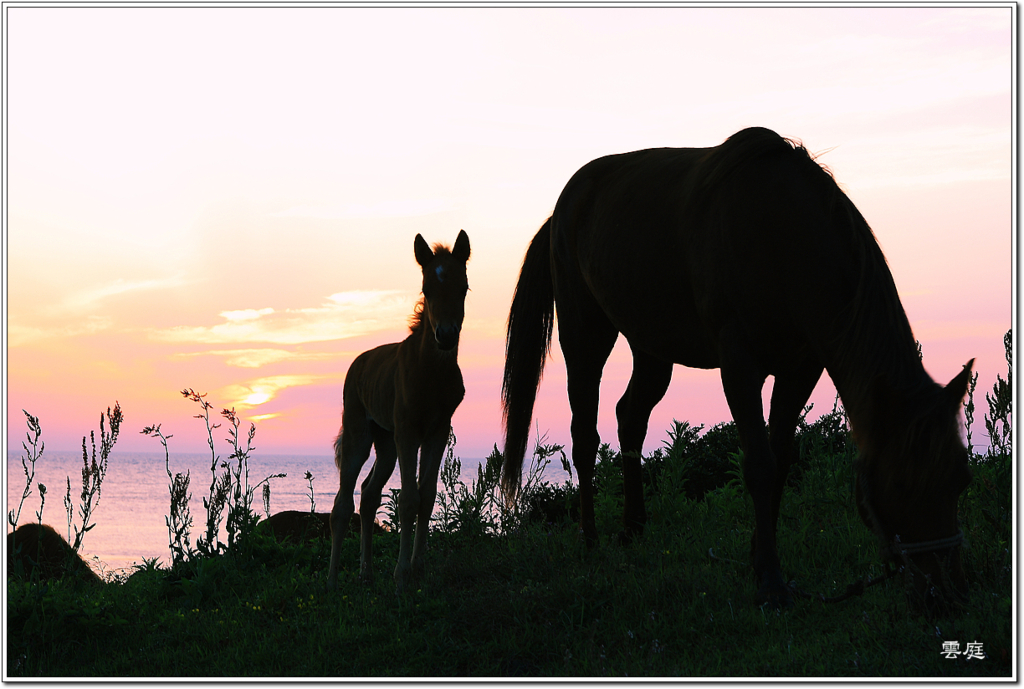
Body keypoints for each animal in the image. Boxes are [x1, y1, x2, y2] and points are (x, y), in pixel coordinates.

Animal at [327, 229, 471, 589]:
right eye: (426, 289)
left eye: (463, 287)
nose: (445, 335)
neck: (430, 372)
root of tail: (359, 363)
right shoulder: (407, 431)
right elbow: (408, 499)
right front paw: (402, 575)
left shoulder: (437, 431)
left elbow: (427, 495)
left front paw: (419, 568)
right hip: (360, 435)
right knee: (342, 503)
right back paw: (332, 580)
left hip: (386, 443)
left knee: (368, 496)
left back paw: (365, 573)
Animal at [503, 127, 974, 606]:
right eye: (900, 483)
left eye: (961, 479)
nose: (948, 593)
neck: (781, 236)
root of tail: (561, 209)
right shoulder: (739, 365)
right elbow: (759, 465)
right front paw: (770, 580)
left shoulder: (799, 370)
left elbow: (780, 460)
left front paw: (757, 559)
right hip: (584, 334)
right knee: (585, 433)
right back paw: (591, 538)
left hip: (652, 348)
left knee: (630, 416)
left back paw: (633, 527)